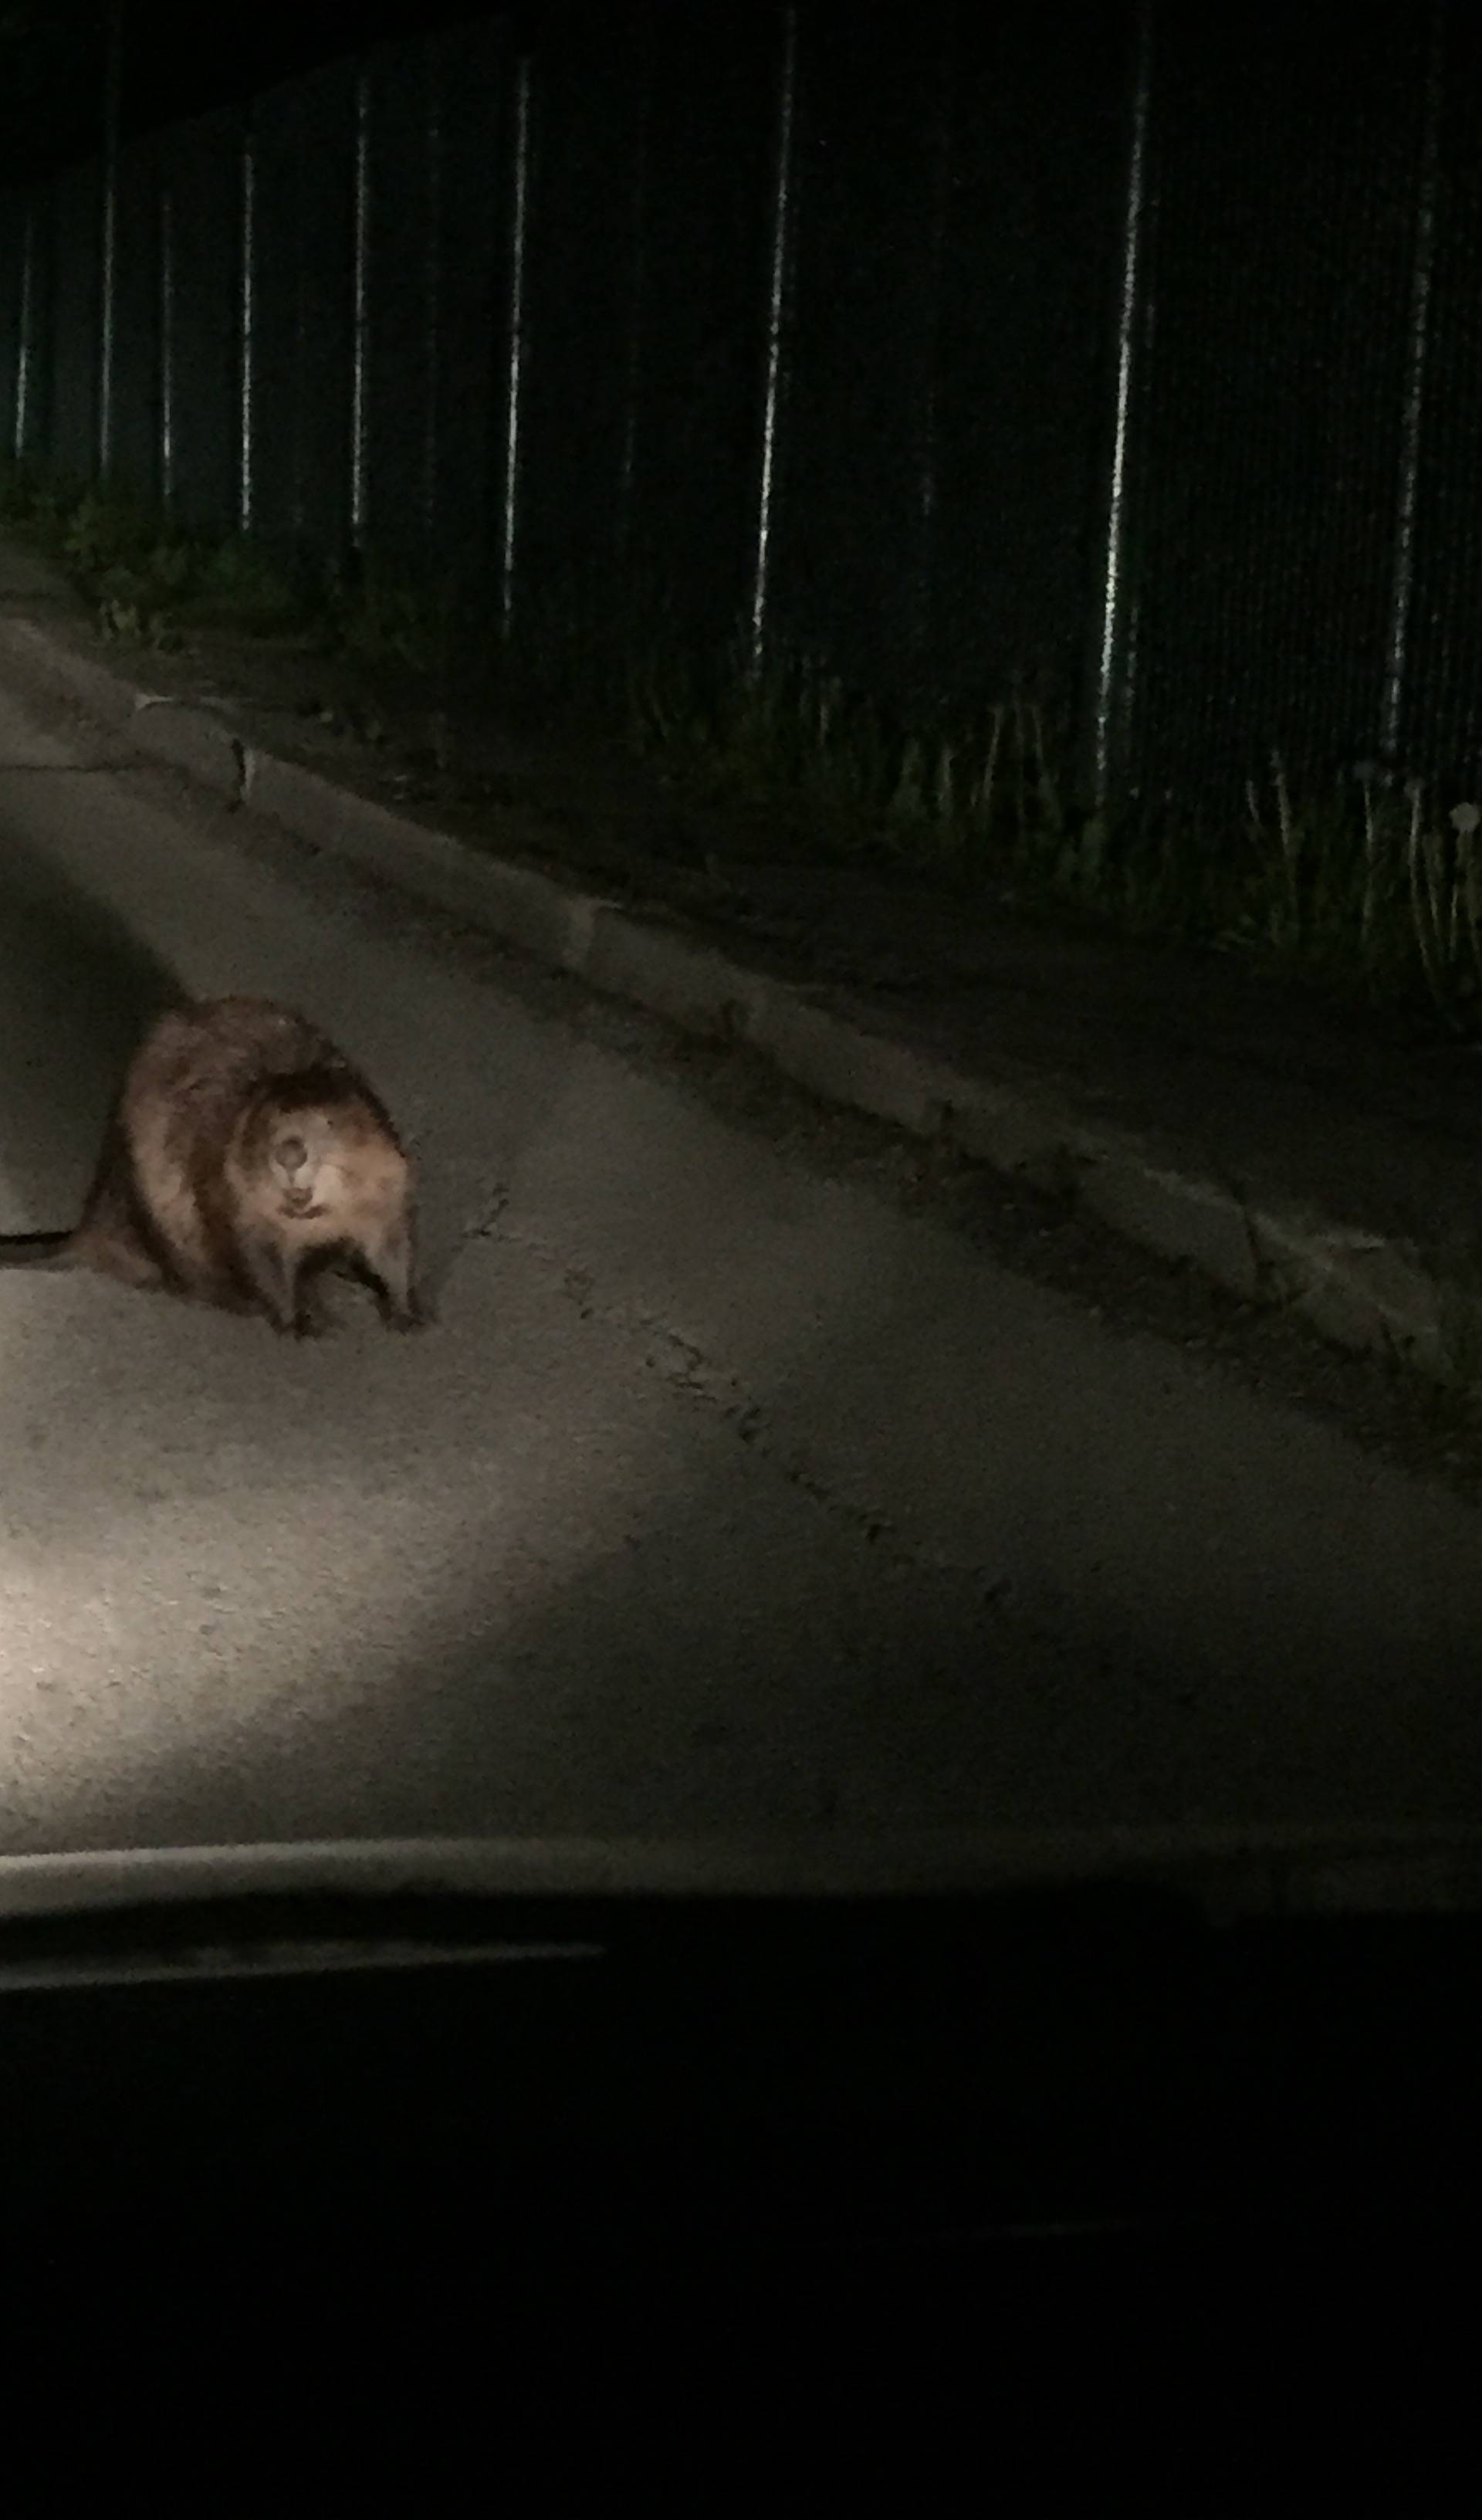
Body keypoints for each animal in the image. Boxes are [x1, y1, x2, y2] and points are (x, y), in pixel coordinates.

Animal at [0, 993, 423, 1340]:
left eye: (330, 1123)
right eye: (266, 1124)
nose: (289, 1155)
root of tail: (90, 1231)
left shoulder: (390, 1180)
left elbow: (393, 1246)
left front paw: (405, 1314)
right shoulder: (232, 1189)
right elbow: (261, 1257)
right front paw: (301, 1324)